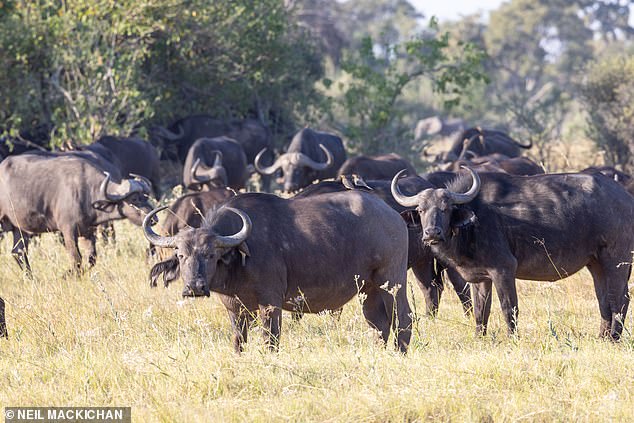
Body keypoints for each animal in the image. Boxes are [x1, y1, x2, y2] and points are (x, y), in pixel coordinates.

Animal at [0, 152, 153, 272]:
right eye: (134, 198)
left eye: (145, 196)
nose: (154, 219)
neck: (87, 193)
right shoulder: (68, 231)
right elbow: (76, 258)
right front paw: (67, 275)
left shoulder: (87, 232)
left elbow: (92, 258)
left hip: (20, 230)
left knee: (18, 252)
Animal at [143, 190, 410, 352]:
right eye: (181, 255)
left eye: (210, 254)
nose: (194, 287)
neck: (239, 260)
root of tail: (393, 215)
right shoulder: (234, 309)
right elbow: (239, 341)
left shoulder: (270, 303)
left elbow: (270, 340)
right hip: (368, 289)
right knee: (378, 323)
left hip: (392, 282)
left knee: (403, 318)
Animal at [390, 167, 632, 340]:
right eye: (421, 210)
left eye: (445, 209)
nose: (432, 233)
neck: (473, 222)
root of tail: (625, 197)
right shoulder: (481, 278)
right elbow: (481, 311)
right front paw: (479, 338)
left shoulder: (503, 270)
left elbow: (509, 308)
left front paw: (512, 338)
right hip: (596, 264)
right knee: (604, 300)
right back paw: (602, 337)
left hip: (616, 261)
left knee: (619, 298)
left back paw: (614, 338)